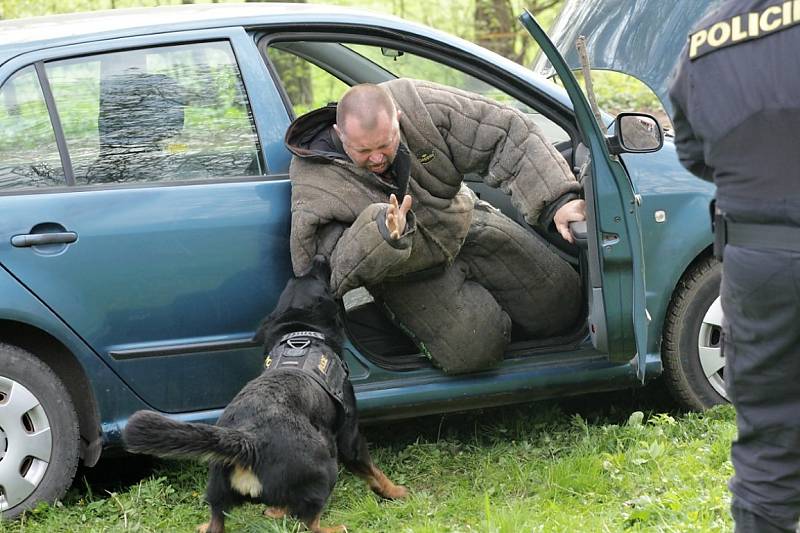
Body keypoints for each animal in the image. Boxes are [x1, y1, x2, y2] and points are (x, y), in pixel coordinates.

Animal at [122, 256, 410, 528]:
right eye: (320, 280)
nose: (317, 258)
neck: (300, 335)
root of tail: (247, 441)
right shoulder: (349, 437)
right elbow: (373, 471)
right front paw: (395, 492)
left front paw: (276, 511)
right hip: (324, 467)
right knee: (309, 521)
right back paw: (335, 527)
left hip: (218, 491)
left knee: (218, 519)